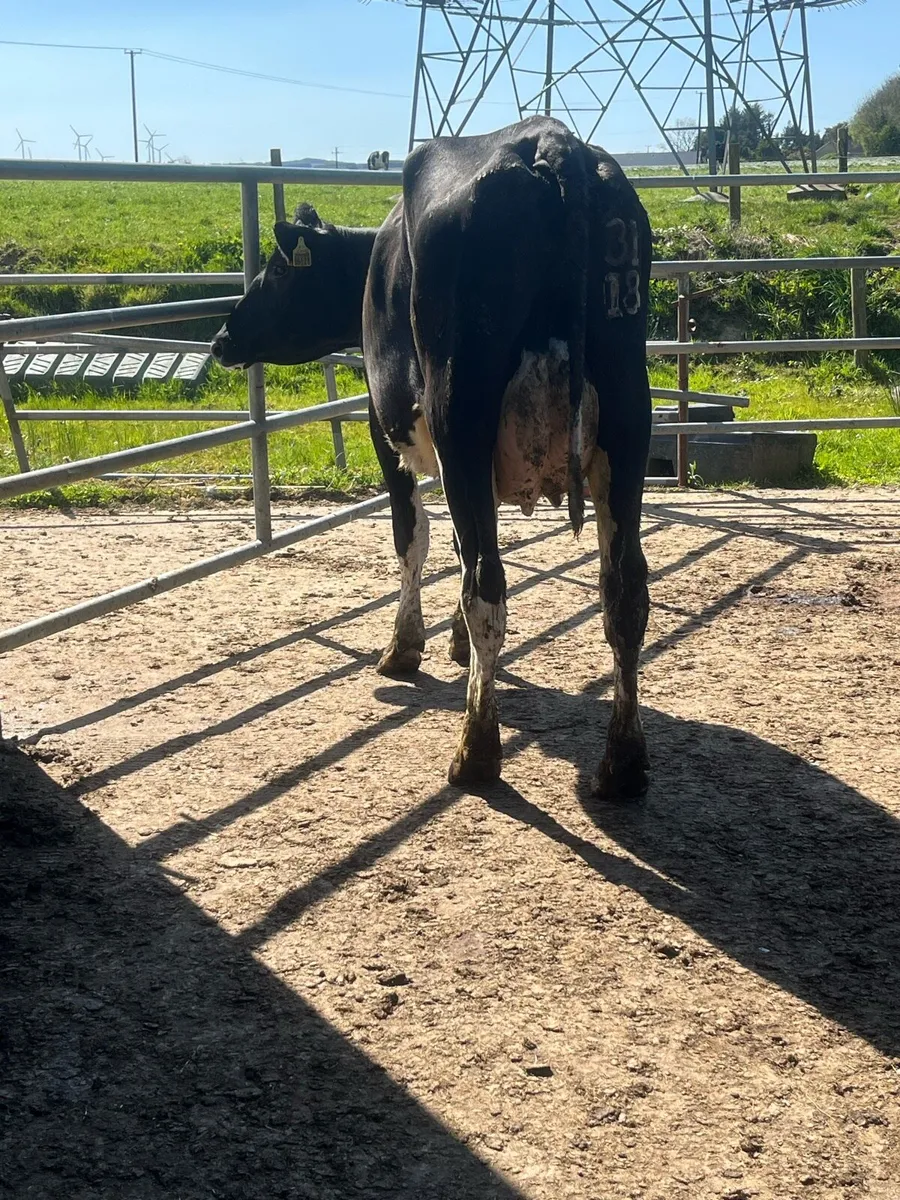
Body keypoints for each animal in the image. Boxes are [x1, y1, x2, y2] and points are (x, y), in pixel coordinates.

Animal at [212, 117, 652, 799]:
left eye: (280, 272)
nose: (222, 336)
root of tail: (551, 143)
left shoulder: (388, 429)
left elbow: (414, 539)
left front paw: (406, 645)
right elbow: (460, 544)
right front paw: (455, 645)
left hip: (461, 416)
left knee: (489, 589)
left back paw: (475, 750)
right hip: (628, 422)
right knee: (624, 591)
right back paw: (623, 761)